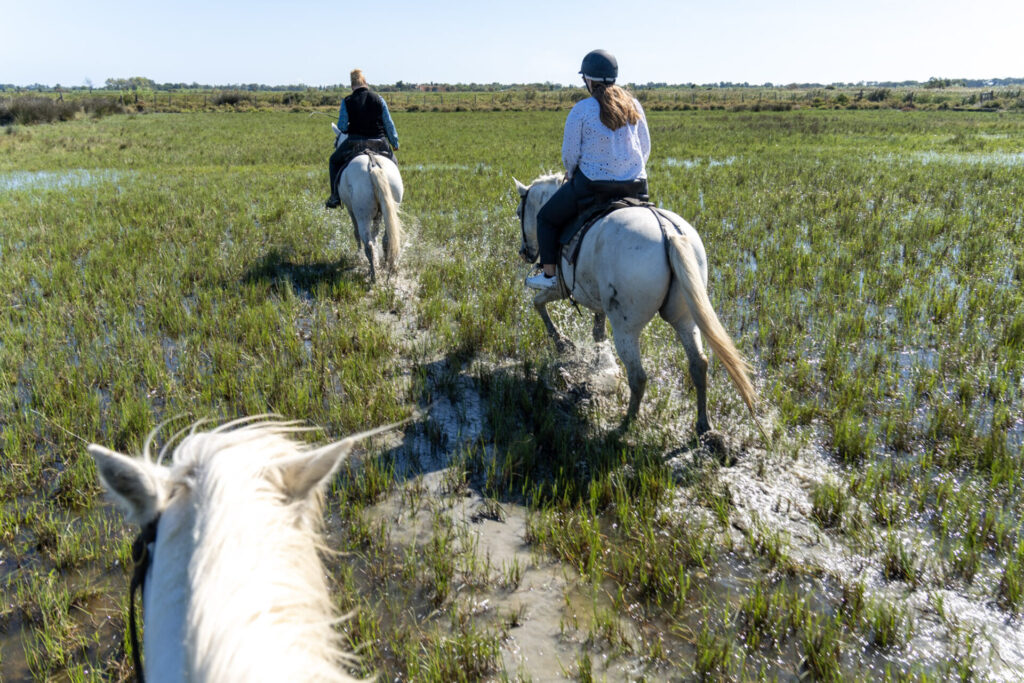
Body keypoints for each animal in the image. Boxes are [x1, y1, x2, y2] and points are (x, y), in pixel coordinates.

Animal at [331, 123, 403, 282]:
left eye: (335, 142)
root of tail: (373, 165)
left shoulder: (351, 210)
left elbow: (357, 233)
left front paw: (358, 255)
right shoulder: (379, 214)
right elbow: (376, 235)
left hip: (362, 215)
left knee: (368, 243)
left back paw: (373, 275)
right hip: (389, 208)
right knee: (387, 240)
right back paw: (386, 267)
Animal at [514, 174, 760, 436]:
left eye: (520, 212)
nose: (525, 253)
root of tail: (668, 233)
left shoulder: (563, 287)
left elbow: (538, 303)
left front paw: (561, 342)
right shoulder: (598, 302)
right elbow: (598, 333)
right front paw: (596, 361)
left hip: (626, 329)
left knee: (638, 376)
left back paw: (625, 425)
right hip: (686, 317)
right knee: (698, 364)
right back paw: (703, 424)